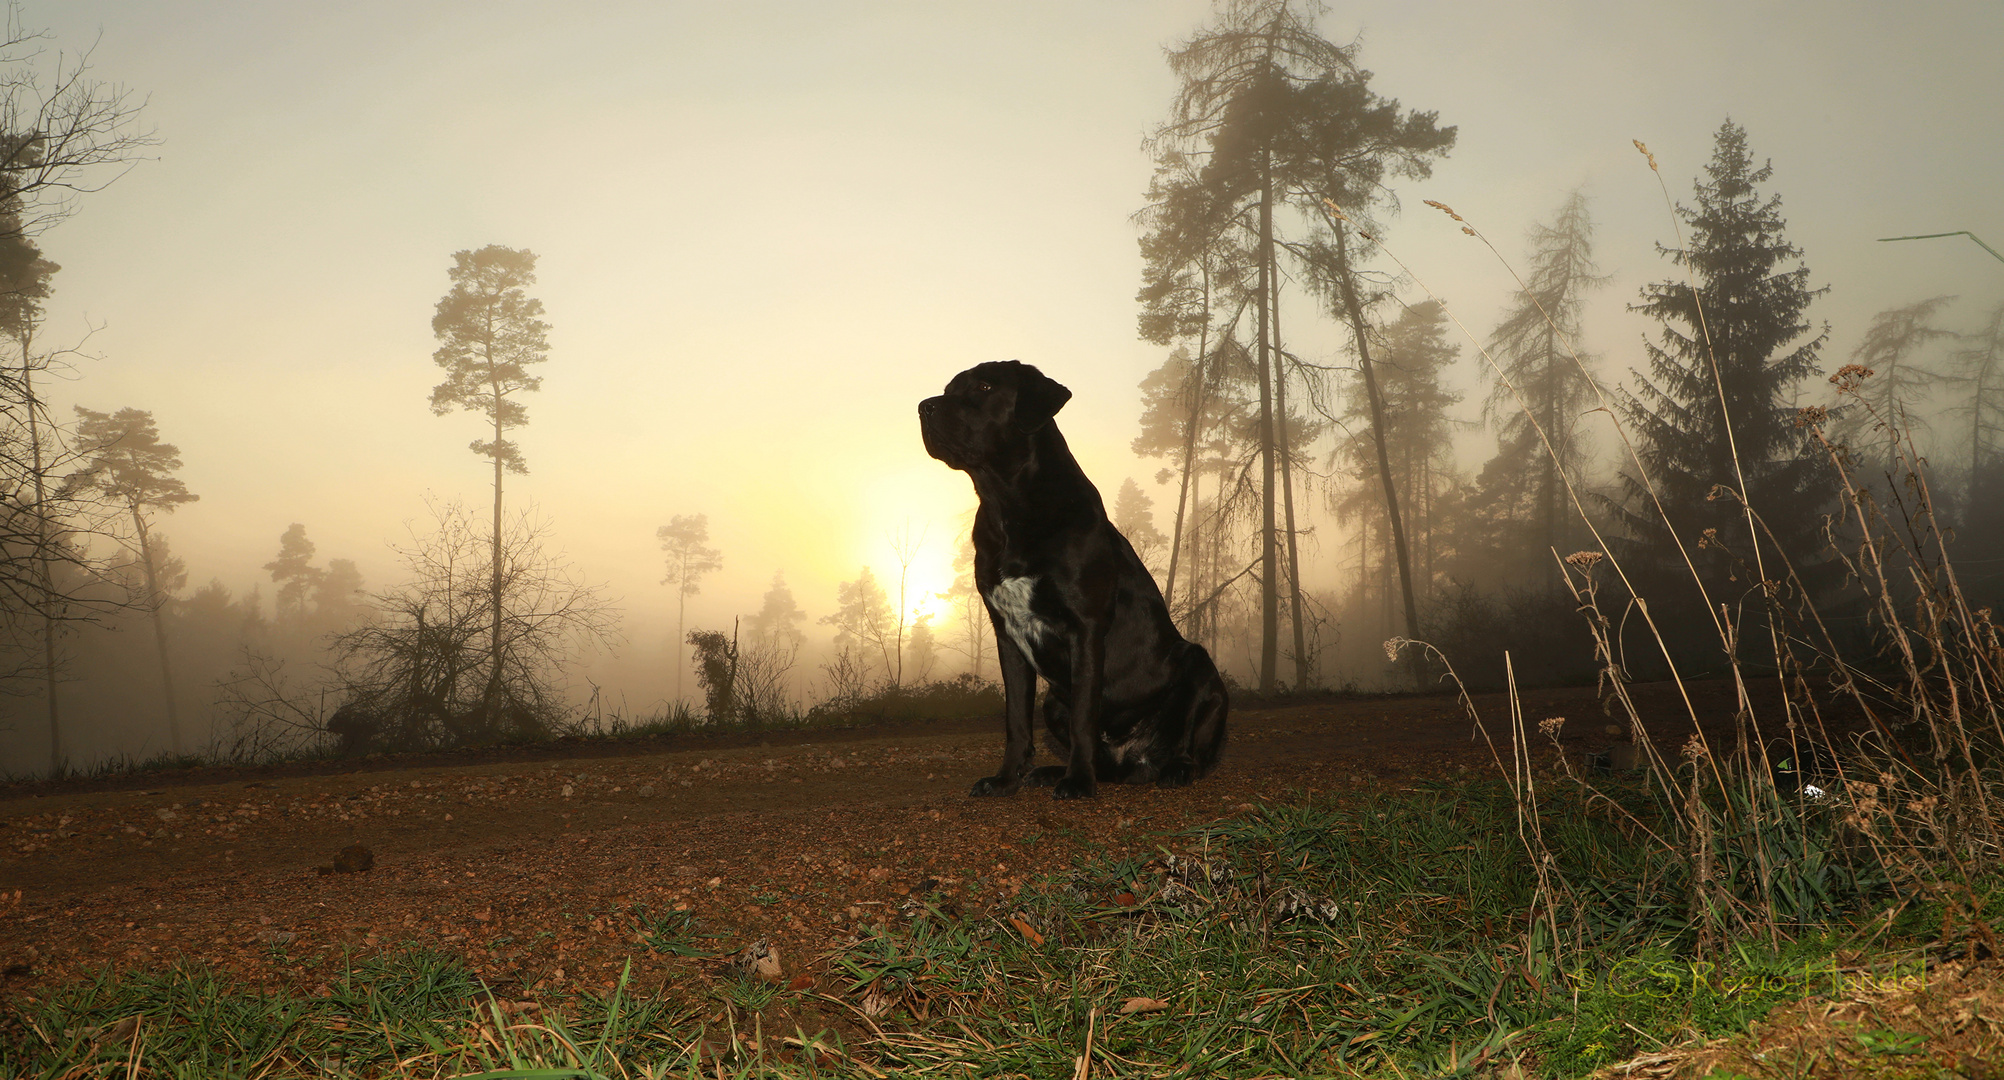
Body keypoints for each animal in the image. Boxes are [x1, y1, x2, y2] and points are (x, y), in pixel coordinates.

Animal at [917, 358, 1218, 797]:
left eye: (985, 387)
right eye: (948, 389)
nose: (924, 406)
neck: (1006, 505)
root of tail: (1137, 759)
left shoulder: (1085, 626)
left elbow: (1083, 717)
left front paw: (1076, 781)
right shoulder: (1007, 636)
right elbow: (1016, 720)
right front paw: (1006, 779)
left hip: (1199, 664)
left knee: (1187, 742)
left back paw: (1174, 769)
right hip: (1052, 702)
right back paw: (1051, 772)